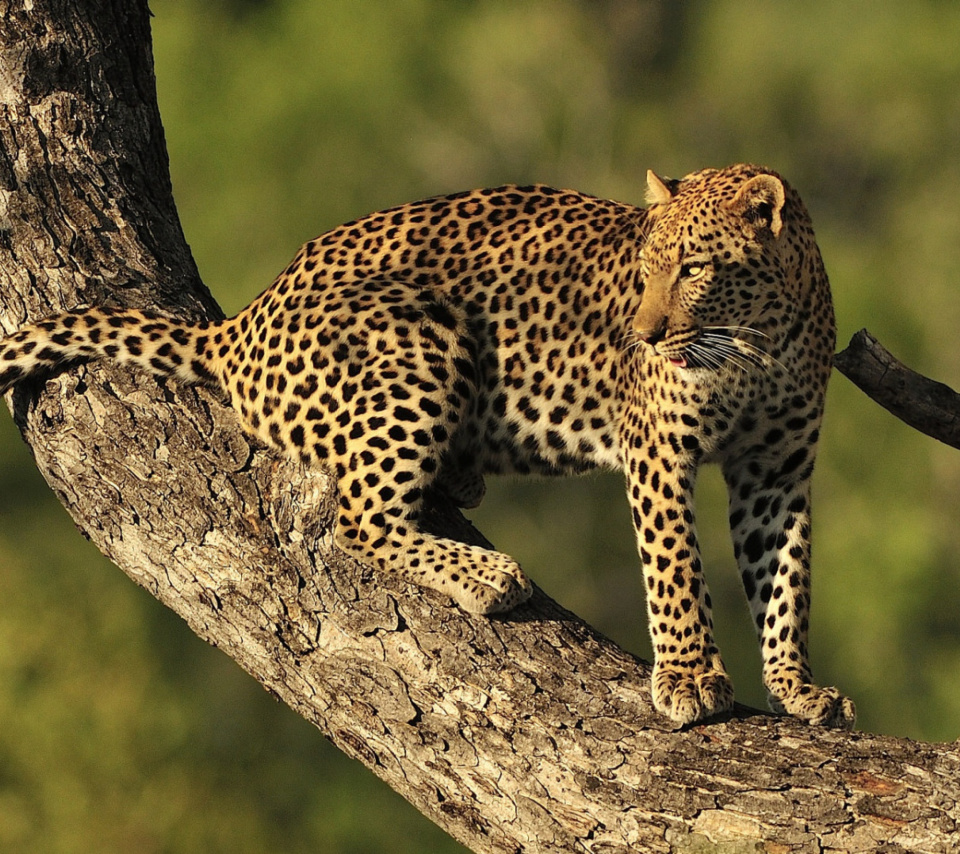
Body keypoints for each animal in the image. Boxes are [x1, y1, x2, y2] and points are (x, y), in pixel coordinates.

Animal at [0, 162, 856, 728]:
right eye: (644, 271)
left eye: (696, 267)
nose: (640, 336)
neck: (757, 342)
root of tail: (239, 323)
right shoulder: (661, 454)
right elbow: (677, 566)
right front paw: (688, 677)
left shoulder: (777, 470)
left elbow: (786, 581)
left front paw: (798, 688)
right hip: (422, 339)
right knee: (360, 519)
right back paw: (489, 575)